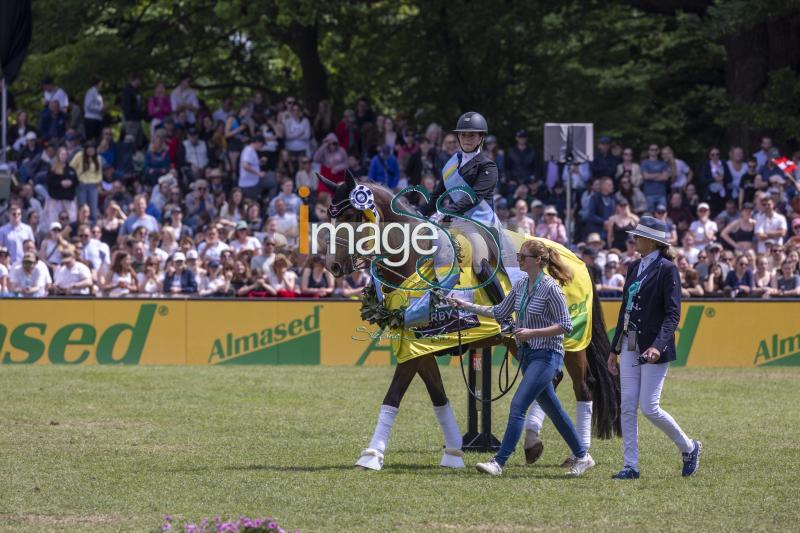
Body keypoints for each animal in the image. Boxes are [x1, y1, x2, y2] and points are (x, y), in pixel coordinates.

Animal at [316, 172, 616, 468]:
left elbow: (393, 395)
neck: (416, 258)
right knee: (550, 381)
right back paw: (536, 443)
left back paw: (574, 452)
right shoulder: (418, 346)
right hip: (521, 342)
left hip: (571, 343)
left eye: (352, 216)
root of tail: (575, 258)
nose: (332, 266)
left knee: (581, 386)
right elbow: (438, 397)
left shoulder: (415, 348)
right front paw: (453, 452)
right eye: (330, 217)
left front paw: (371, 456)